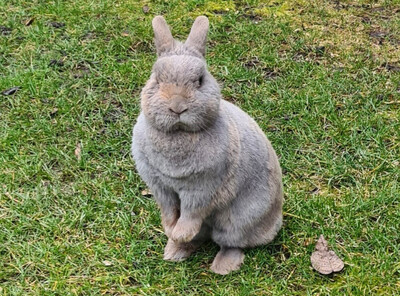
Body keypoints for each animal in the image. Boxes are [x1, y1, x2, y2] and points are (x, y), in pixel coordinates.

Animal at [130, 15, 282, 276]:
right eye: (157, 79)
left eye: (200, 80)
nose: (177, 107)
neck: (179, 133)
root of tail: (277, 219)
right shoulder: (161, 187)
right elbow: (168, 210)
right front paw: (171, 232)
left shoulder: (202, 188)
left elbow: (191, 213)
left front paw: (179, 233)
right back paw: (174, 252)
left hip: (238, 221)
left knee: (231, 242)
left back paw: (221, 266)